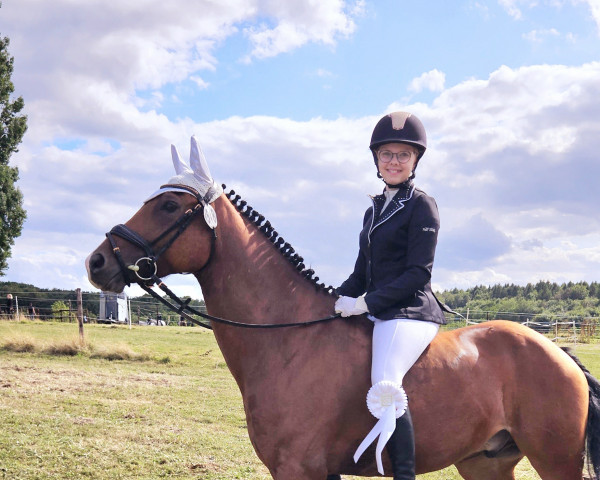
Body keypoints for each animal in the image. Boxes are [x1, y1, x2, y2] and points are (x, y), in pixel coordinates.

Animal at [86, 137, 600, 478]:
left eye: (170, 207)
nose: (97, 262)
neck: (287, 340)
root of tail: (561, 354)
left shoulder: (299, 468)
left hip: (553, 461)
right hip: (484, 461)